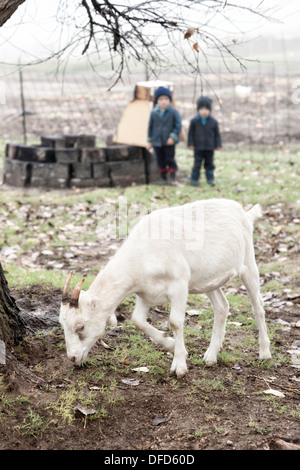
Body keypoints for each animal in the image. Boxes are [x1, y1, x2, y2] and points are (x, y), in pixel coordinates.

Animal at [59, 198, 272, 378]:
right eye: (62, 325)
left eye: (80, 327)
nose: (72, 357)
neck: (143, 254)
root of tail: (245, 213)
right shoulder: (145, 292)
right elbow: (137, 320)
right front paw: (169, 344)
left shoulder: (179, 285)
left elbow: (175, 322)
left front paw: (179, 365)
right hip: (207, 280)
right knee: (222, 306)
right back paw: (211, 355)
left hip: (248, 263)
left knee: (258, 307)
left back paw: (264, 352)